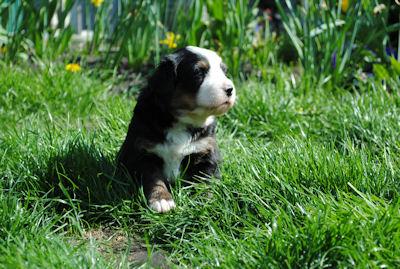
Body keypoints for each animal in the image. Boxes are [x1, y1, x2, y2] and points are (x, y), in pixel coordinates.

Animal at [116, 46, 234, 214]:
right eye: (198, 72)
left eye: (224, 71)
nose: (230, 89)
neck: (183, 119)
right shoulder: (144, 153)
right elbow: (154, 179)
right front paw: (161, 200)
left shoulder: (206, 151)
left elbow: (206, 178)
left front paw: (206, 200)